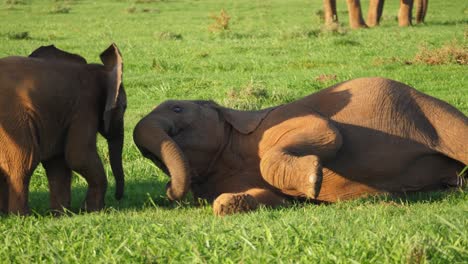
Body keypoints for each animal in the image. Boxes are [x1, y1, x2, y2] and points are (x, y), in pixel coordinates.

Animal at [0, 43, 126, 214]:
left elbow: (58, 162)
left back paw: (6, 214)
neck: (100, 70)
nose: (118, 197)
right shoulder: (85, 107)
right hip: (13, 118)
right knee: (24, 161)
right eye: (124, 108)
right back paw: (21, 216)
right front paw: (93, 211)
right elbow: (78, 156)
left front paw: (61, 214)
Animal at [133, 77, 468, 216]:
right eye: (150, 156)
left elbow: (328, 132)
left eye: (177, 109)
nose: (167, 193)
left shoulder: (278, 120)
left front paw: (312, 180)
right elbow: (271, 197)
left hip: (434, 113)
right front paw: (228, 204)